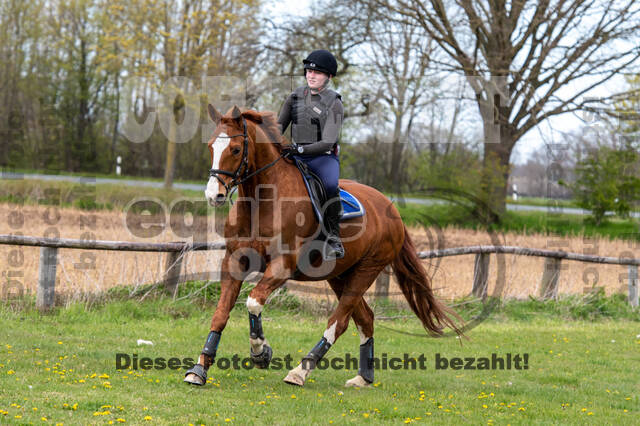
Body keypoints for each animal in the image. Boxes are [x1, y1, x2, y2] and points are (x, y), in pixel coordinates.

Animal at [182, 105, 462, 388]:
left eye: (236, 149)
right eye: (211, 146)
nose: (213, 195)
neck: (261, 202)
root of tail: (392, 210)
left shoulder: (282, 266)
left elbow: (253, 302)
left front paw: (261, 353)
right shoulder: (233, 262)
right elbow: (221, 313)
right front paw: (199, 368)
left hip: (366, 271)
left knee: (339, 322)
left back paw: (300, 371)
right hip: (340, 275)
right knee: (365, 319)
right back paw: (363, 377)